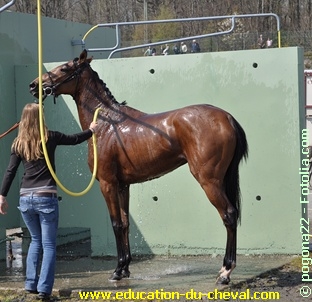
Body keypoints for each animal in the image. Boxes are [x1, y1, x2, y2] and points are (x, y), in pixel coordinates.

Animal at [29, 50, 249, 286]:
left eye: (64, 68)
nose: (34, 85)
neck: (107, 124)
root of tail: (227, 117)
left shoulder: (107, 184)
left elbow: (116, 224)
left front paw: (117, 271)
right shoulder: (123, 186)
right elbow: (125, 223)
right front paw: (125, 268)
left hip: (209, 181)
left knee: (228, 215)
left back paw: (225, 272)